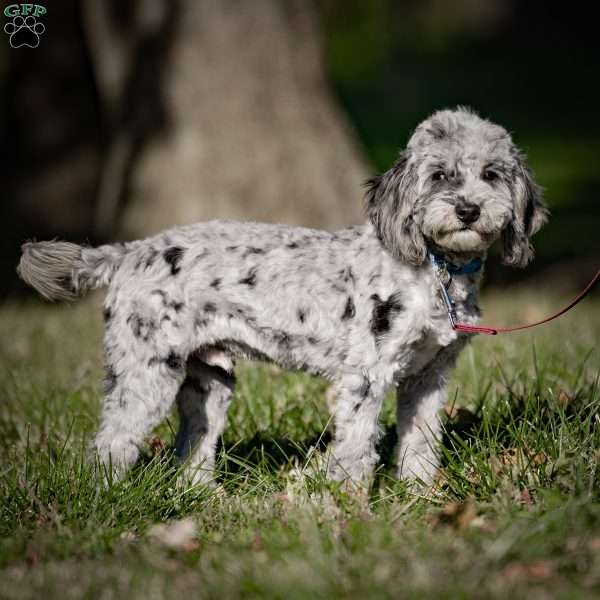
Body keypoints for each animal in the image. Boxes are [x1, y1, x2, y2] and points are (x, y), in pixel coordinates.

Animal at [17, 109, 548, 488]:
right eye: (439, 175)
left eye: (492, 174)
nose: (468, 209)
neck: (433, 270)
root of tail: (128, 253)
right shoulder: (366, 377)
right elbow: (355, 450)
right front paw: (349, 506)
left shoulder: (428, 378)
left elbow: (420, 444)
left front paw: (417, 496)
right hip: (146, 374)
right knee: (111, 443)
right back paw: (104, 496)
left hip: (209, 383)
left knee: (191, 449)